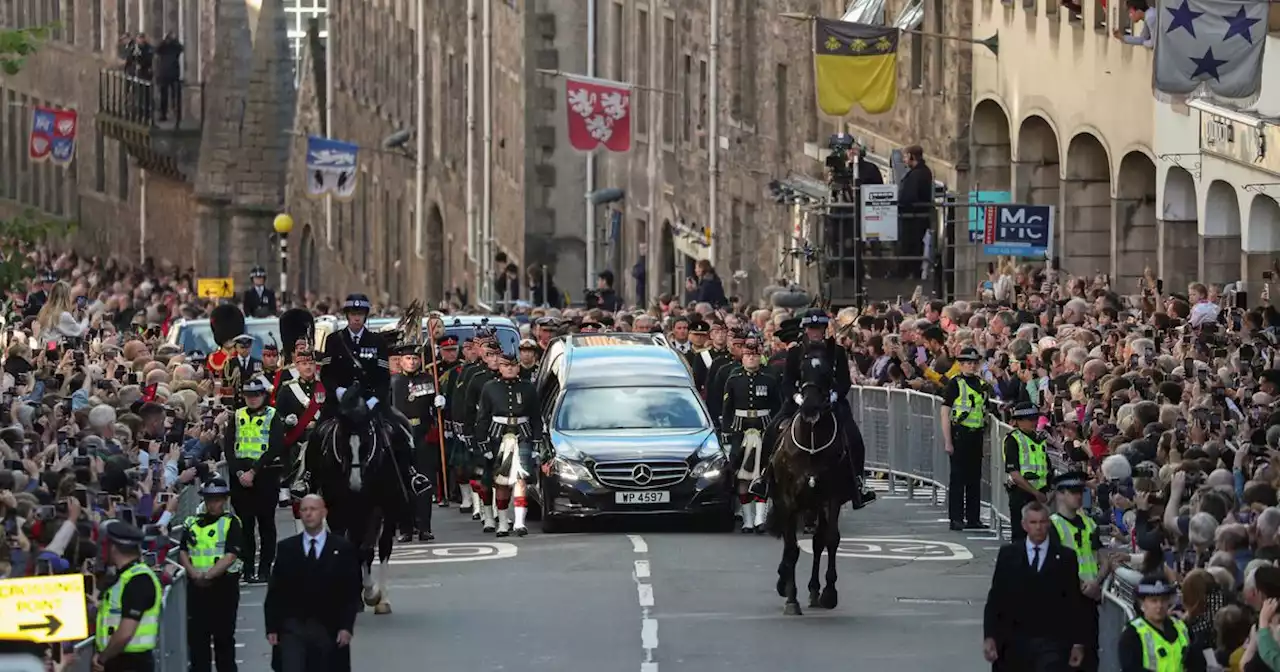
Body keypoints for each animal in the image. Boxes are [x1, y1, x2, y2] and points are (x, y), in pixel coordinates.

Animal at [293, 386, 412, 611]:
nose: (356, 484)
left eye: (367, 440)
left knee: (382, 545)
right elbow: (343, 545)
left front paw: (371, 593)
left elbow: (367, 549)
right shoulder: (335, 508)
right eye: (341, 439)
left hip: (388, 507)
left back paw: (382, 599)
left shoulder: (376, 506)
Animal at [757, 337, 860, 616]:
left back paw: (814, 591)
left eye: (828, 372)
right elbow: (792, 548)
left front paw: (829, 593)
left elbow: (830, 540)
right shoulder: (788, 501)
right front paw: (791, 598)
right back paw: (785, 581)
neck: (812, 444)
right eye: (802, 371)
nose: (810, 409)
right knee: (791, 543)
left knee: (817, 542)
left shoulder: (831, 499)